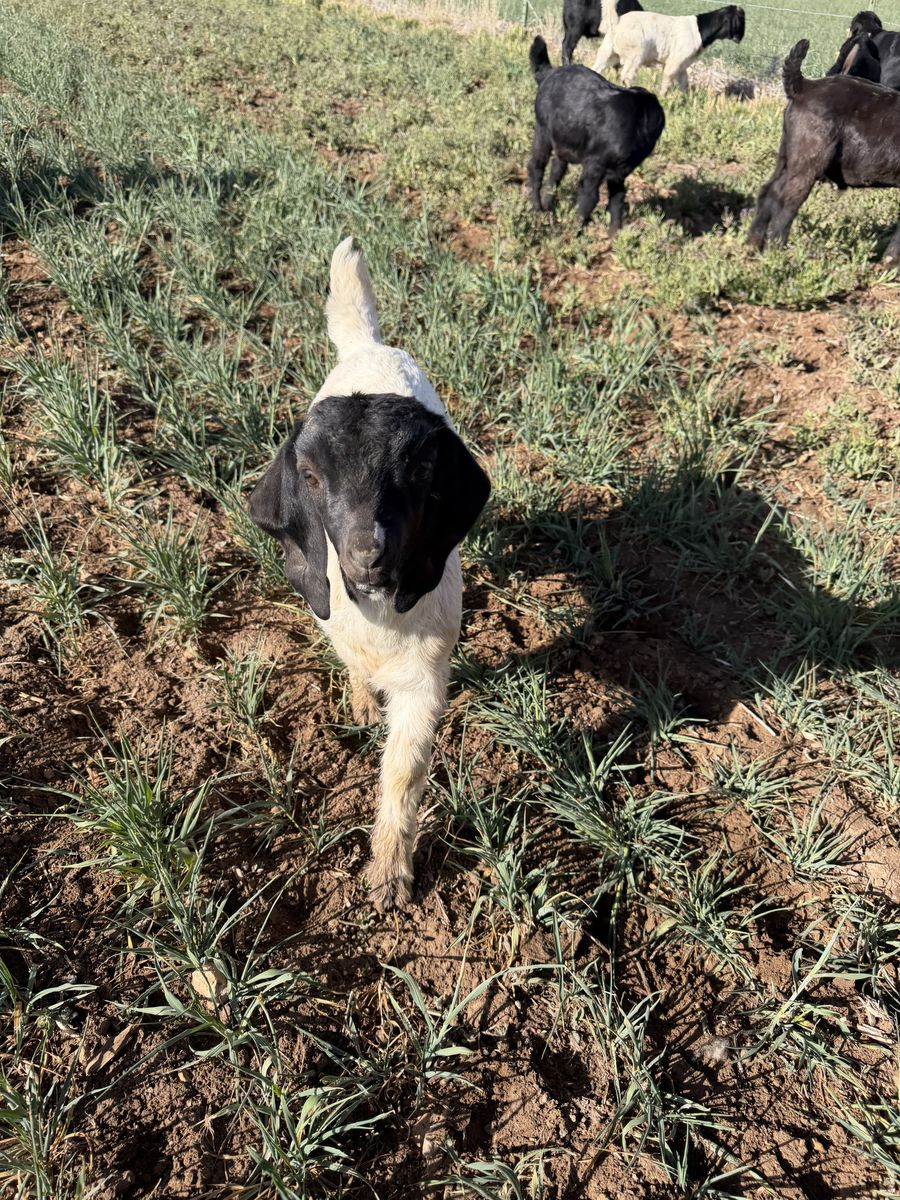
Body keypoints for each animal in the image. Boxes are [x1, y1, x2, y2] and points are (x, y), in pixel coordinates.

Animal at [249, 239, 490, 910]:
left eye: (422, 471)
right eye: (308, 476)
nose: (366, 555)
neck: (379, 612)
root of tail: (366, 348)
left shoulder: (426, 675)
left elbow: (404, 770)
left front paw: (388, 876)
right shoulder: (332, 616)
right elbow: (351, 662)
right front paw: (359, 702)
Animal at [528, 36, 664, 232]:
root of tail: (549, 74)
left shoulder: (619, 173)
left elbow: (618, 199)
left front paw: (615, 233)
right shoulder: (595, 164)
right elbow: (590, 196)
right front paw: (576, 228)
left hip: (563, 141)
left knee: (556, 170)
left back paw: (547, 204)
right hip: (542, 131)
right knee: (536, 166)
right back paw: (537, 207)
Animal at [592, 5, 746, 94]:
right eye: (740, 20)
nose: (740, 38)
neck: (700, 29)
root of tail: (617, 22)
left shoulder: (682, 65)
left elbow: (684, 83)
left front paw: (686, 100)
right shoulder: (675, 61)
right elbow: (667, 80)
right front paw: (663, 97)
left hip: (608, 52)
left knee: (596, 69)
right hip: (636, 54)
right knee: (627, 75)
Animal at [747, 39, 900, 266]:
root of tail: (805, 86)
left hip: (787, 155)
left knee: (769, 192)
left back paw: (752, 246)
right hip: (809, 160)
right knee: (787, 203)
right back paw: (777, 254)